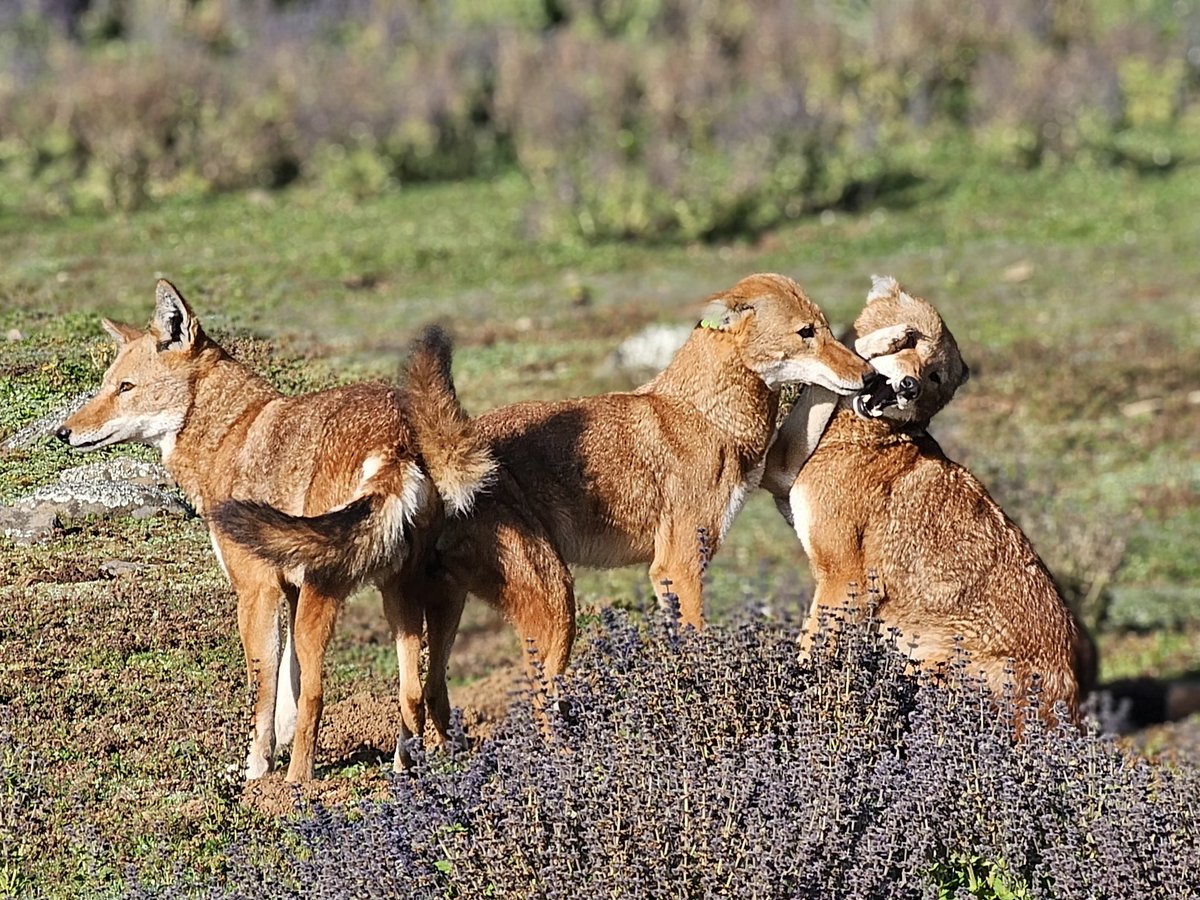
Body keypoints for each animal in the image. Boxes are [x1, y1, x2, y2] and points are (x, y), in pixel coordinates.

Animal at [57, 280, 494, 782]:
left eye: (125, 388)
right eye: (106, 386)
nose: (61, 433)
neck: (230, 434)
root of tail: (396, 439)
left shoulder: (256, 591)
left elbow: (264, 689)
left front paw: (256, 768)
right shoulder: (290, 590)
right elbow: (289, 680)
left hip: (333, 600)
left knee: (322, 694)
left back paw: (294, 784)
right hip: (399, 596)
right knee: (416, 692)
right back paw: (407, 769)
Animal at [762, 276, 1087, 725]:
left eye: (934, 376)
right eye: (912, 341)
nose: (908, 387)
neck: (866, 433)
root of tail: (1069, 710)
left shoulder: (845, 578)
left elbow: (810, 652)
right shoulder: (779, 476)